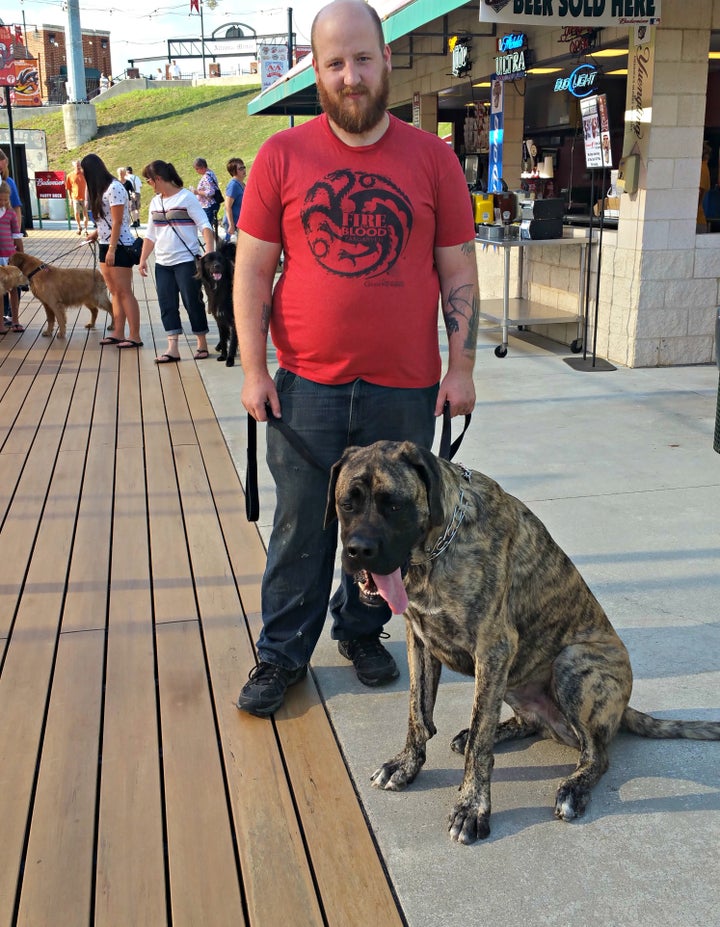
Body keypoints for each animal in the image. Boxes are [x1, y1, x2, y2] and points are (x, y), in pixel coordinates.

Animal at [326, 444, 720, 848]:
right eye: (347, 504)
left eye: (394, 505)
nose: (358, 551)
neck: (435, 550)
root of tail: (623, 707)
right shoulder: (419, 639)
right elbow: (418, 713)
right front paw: (406, 765)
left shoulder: (494, 649)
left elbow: (480, 742)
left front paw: (472, 808)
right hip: (515, 679)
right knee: (526, 722)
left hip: (572, 663)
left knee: (596, 755)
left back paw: (572, 789)